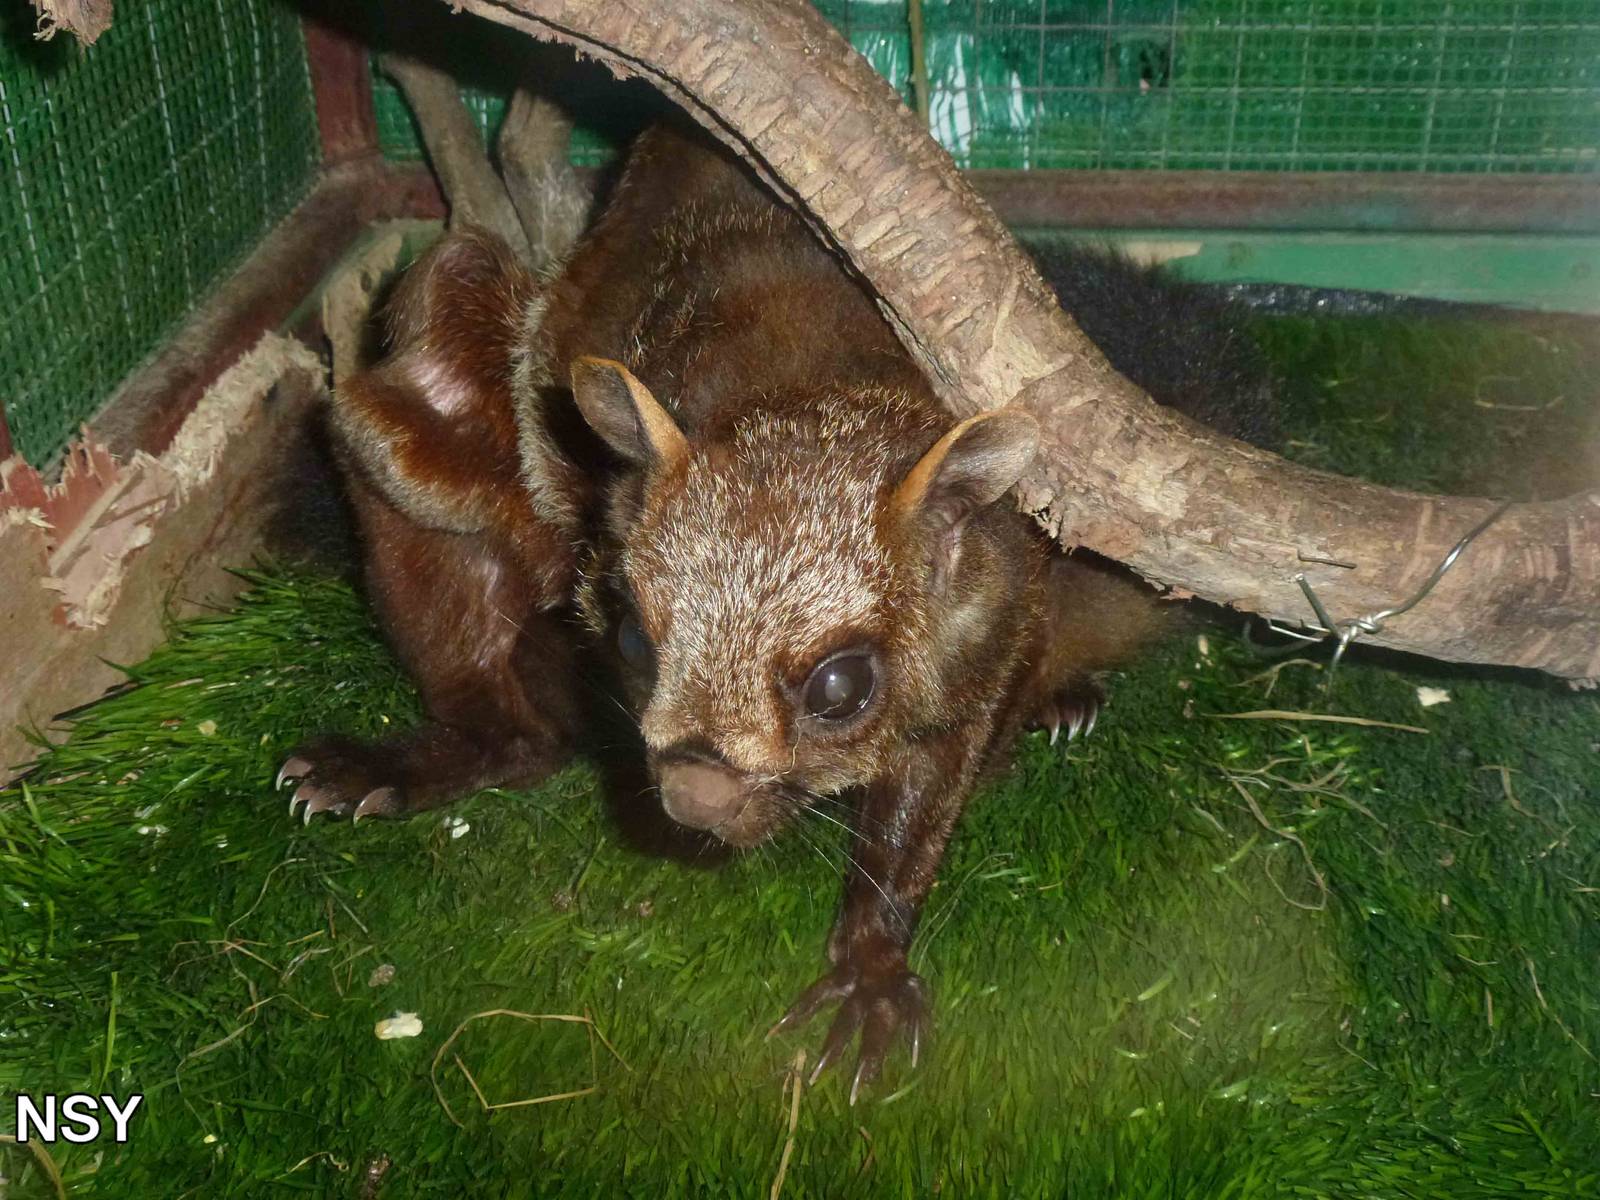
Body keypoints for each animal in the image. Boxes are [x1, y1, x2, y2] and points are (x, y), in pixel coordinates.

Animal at [278, 123, 1276, 1098]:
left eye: (840, 686)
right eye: (635, 637)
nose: (693, 793)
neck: (798, 372)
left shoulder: (992, 620)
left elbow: (916, 815)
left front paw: (870, 974)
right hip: (413, 401)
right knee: (510, 719)